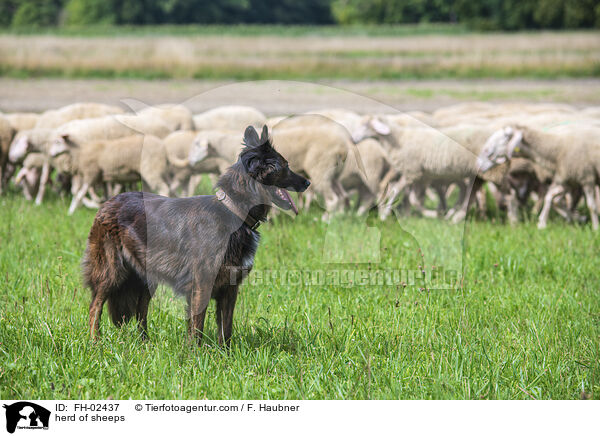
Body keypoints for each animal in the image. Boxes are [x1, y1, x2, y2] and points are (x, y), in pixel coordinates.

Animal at [82, 124, 310, 346]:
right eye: (285, 166)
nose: (307, 183)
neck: (233, 210)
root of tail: (109, 202)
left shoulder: (230, 288)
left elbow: (226, 329)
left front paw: (225, 354)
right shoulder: (202, 285)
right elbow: (197, 326)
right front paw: (195, 354)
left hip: (146, 277)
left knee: (141, 310)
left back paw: (144, 344)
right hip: (112, 271)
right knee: (95, 306)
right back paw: (95, 342)